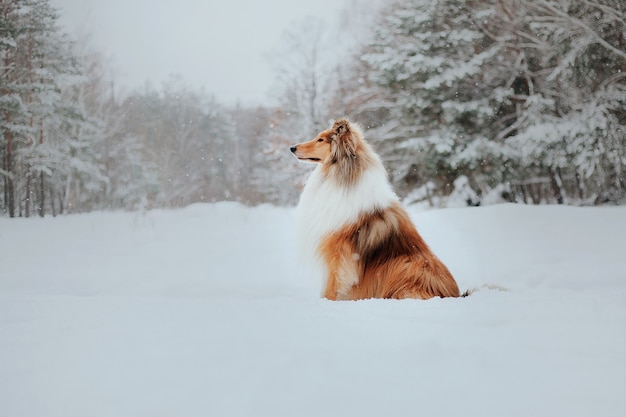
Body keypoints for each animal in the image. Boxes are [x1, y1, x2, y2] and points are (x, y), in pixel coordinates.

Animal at [288, 117, 458, 300]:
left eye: (320, 139)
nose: (292, 148)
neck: (341, 178)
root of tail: (454, 293)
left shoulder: (338, 254)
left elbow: (333, 286)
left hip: (406, 265)